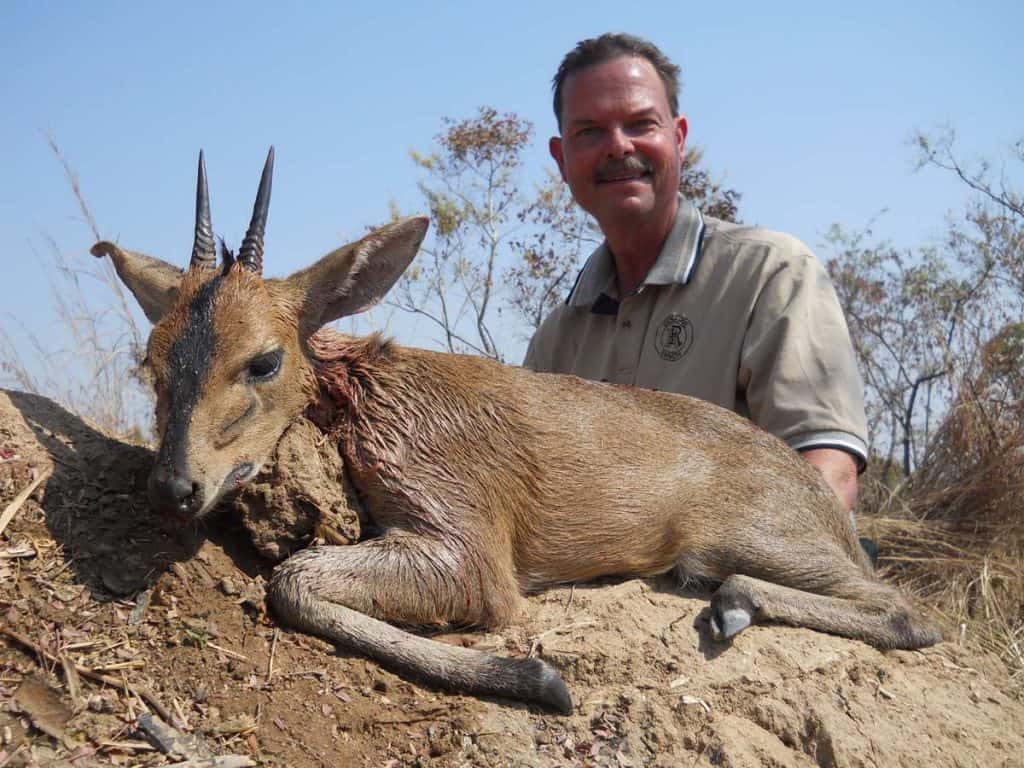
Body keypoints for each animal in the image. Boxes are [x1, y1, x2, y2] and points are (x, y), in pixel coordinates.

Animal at [92, 148, 937, 716]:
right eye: (152, 361)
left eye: (264, 360)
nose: (175, 485)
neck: (371, 397)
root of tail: (818, 497)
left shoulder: (470, 553)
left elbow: (294, 581)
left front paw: (539, 678)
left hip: (744, 541)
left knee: (904, 611)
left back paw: (732, 605)